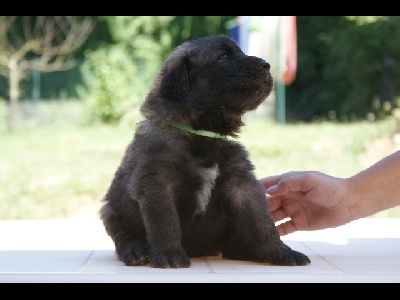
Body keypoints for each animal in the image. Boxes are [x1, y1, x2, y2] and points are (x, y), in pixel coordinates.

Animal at [99, 34, 310, 268]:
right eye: (224, 55)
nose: (267, 65)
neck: (202, 134)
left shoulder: (241, 183)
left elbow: (262, 223)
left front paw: (281, 252)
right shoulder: (157, 182)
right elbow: (165, 223)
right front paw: (169, 254)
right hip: (111, 210)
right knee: (122, 234)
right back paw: (135, 249)